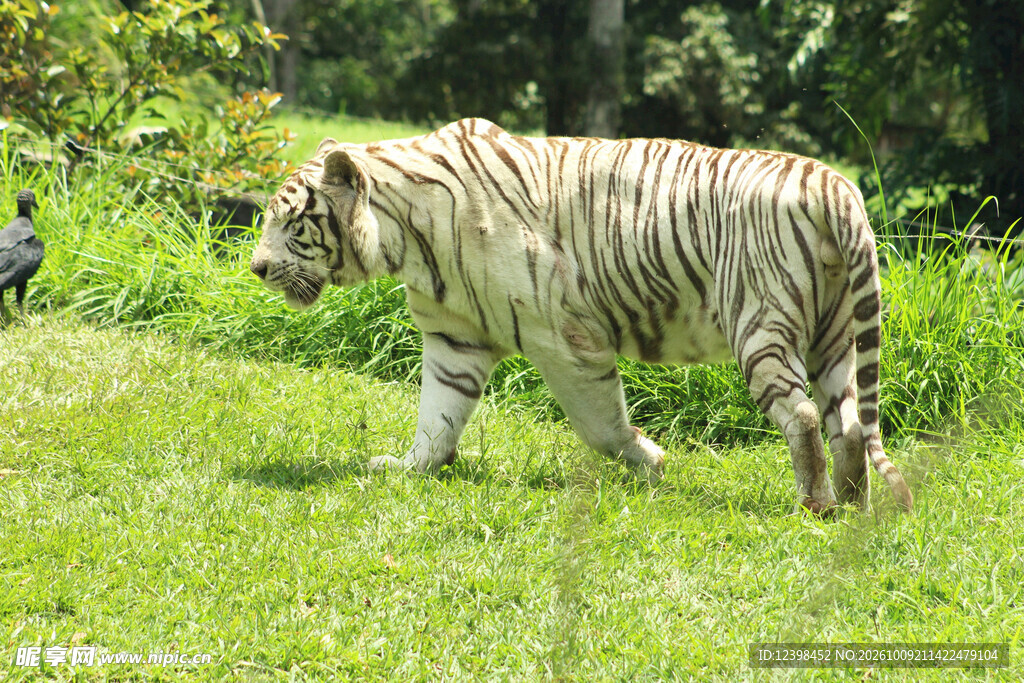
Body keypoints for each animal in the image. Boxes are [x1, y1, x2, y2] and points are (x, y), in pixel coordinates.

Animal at [249, 117, 913, 515]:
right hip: (834, 335)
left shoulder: (563, 338)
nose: (255, 267)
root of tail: (833, 185)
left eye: (292, 222)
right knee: (848, 420)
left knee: (803, 415)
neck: (406, 238)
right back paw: (852, 505)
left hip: (760, 325)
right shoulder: (455, 338)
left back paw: (816, 504)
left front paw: (652, 463)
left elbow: (601, 426)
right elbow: (438, 417)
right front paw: (411, 468)